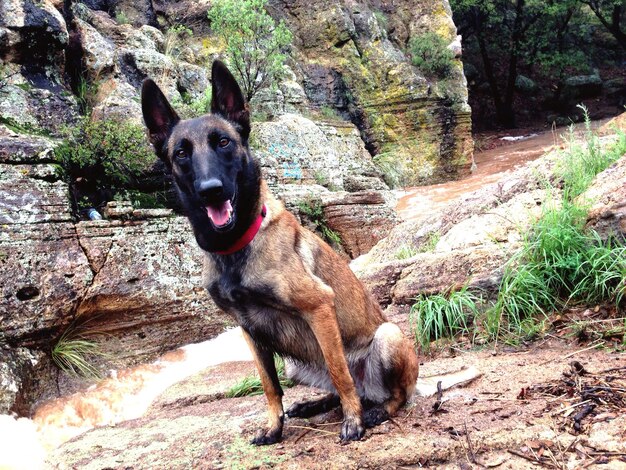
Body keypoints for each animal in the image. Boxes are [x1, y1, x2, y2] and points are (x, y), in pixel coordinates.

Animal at [139, 59, 416, 444]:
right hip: (294, 364)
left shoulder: (318, 306)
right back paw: (314, 404)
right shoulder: (249, 330)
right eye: (181, 152)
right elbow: (269, 386)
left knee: (390, 393)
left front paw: (353, 422)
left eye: (223, 142)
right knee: (338, 389)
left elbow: (339, 370)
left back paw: (373, 411)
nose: (211, 190)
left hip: (388, 337)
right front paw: (274, 427)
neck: (235, 246)